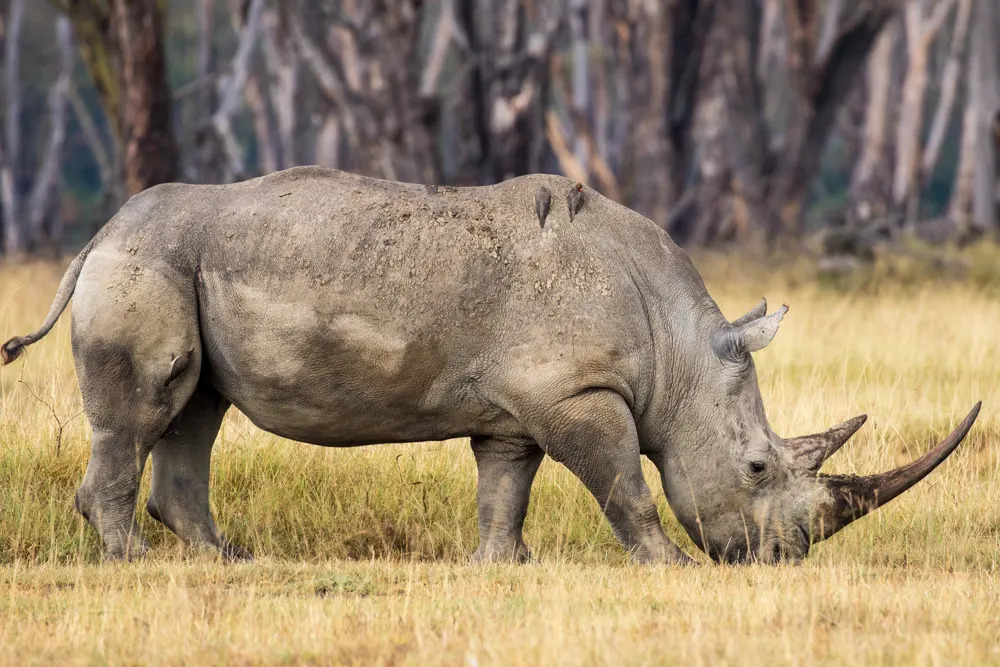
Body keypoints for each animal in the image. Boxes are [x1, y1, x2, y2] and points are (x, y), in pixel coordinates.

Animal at [0, 167, 980, 564]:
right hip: (148, 264)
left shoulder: (523, 404)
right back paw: (133, 559)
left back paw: (227, 559)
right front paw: (670, 565)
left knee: (195, 408)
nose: (779, 559)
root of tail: (97, 236)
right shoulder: (579, 392)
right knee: (151, 404)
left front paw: (503, 566)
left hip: (181, 263)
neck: (678, 348)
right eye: (756, 468)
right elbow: (625, 486)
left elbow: (504, 486)